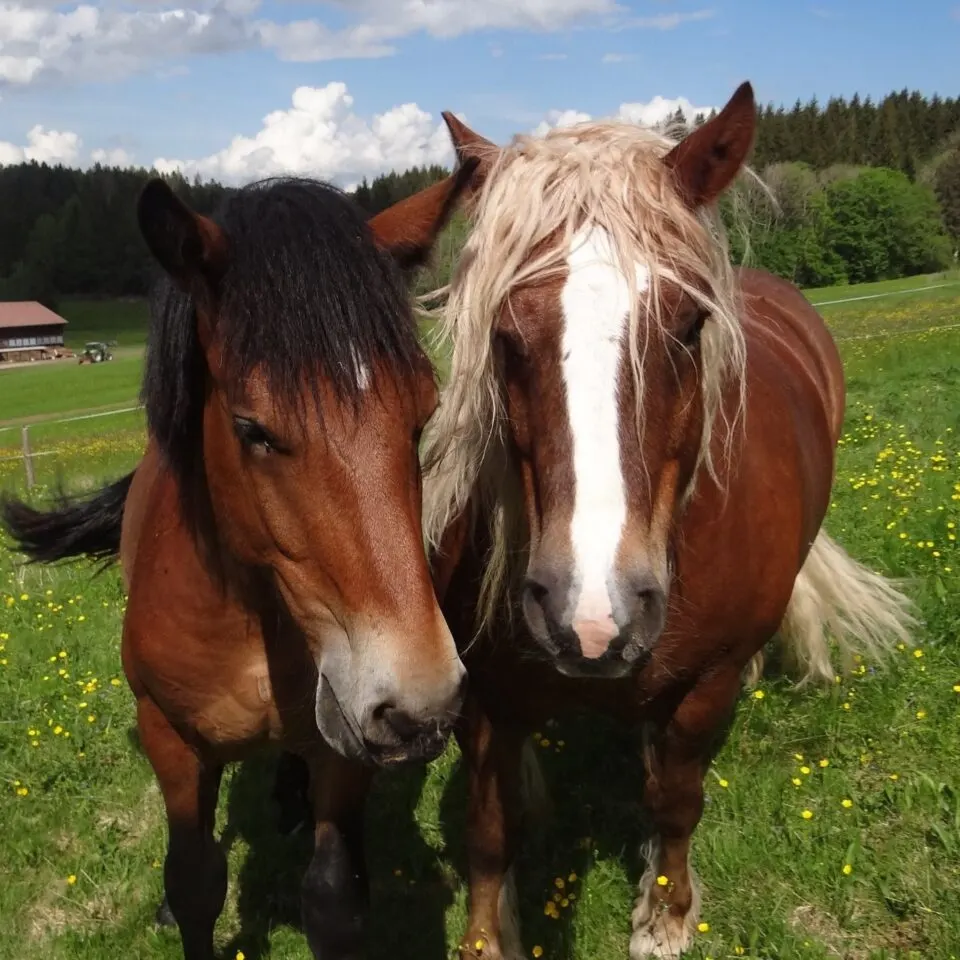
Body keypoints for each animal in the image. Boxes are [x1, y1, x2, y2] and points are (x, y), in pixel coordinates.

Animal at [1, 167, 477, 960]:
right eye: (252, 428)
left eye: (423, 413)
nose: (420, 704)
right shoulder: (170, 739)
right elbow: (194, 880)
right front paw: (176, 906)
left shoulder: (343, 749)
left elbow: (333, 898)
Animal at [419, 82, 916, 959]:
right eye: (505, 336)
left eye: (689, 328)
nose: (589, 614)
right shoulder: (489, 696)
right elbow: (489, 828)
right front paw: (485, 936)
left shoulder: (702, 688)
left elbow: (677, 800)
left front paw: (666, 914)